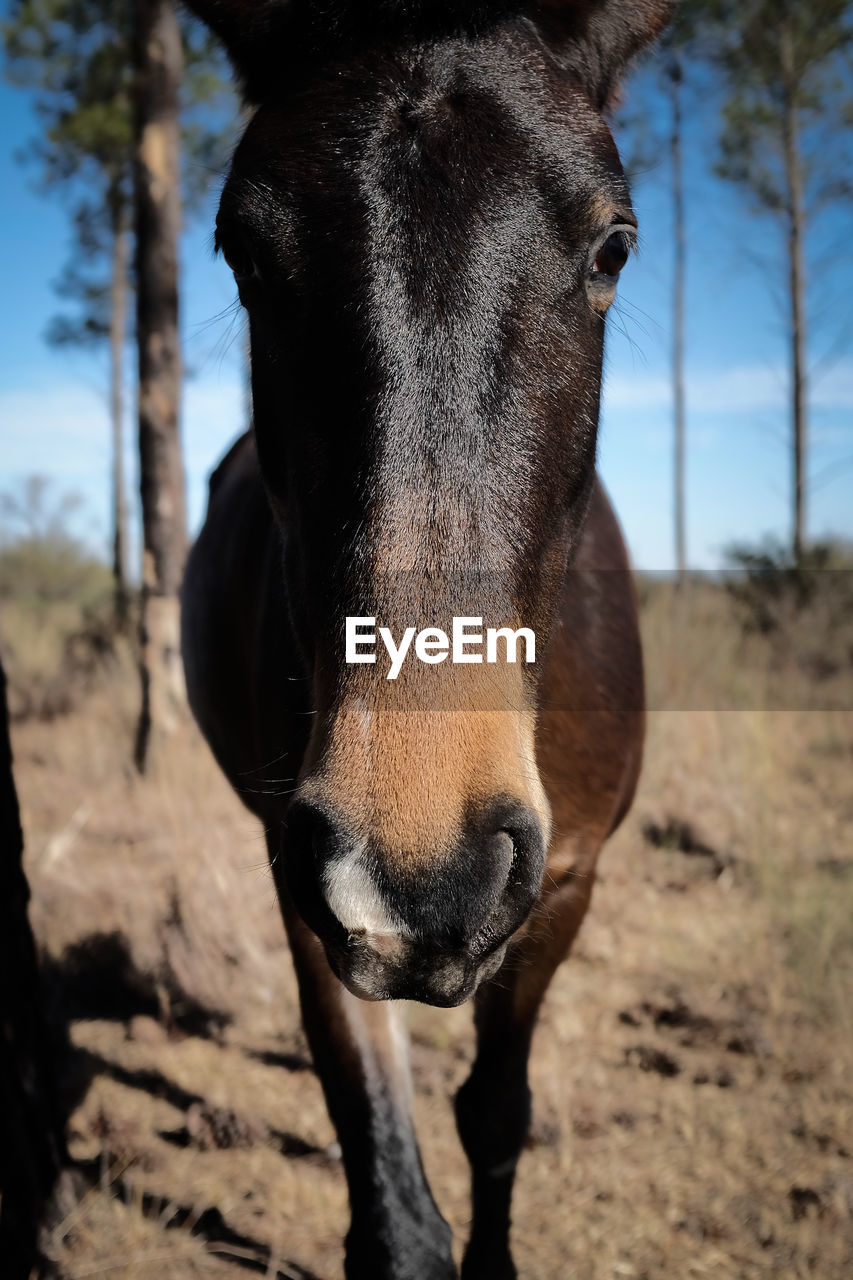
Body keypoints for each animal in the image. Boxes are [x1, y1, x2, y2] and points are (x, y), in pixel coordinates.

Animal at [180, 2, 671, 1280]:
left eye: (612, 248)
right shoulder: (303, 873)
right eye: (243, 253)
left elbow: (495, 1114)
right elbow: (392, 1202)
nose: (422, 868)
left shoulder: (564, 881)